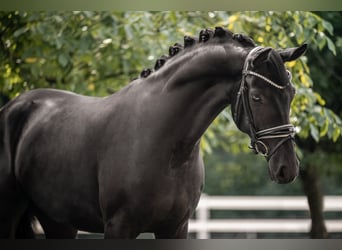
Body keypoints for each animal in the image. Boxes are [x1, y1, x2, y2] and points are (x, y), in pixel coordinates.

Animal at [0, 27, 308, 238]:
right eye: (257, 97)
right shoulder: (118, 228)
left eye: (292, 93)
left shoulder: (175, 228)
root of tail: (14, 107)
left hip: (58, 221)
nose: (287, 169)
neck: (167, 147)